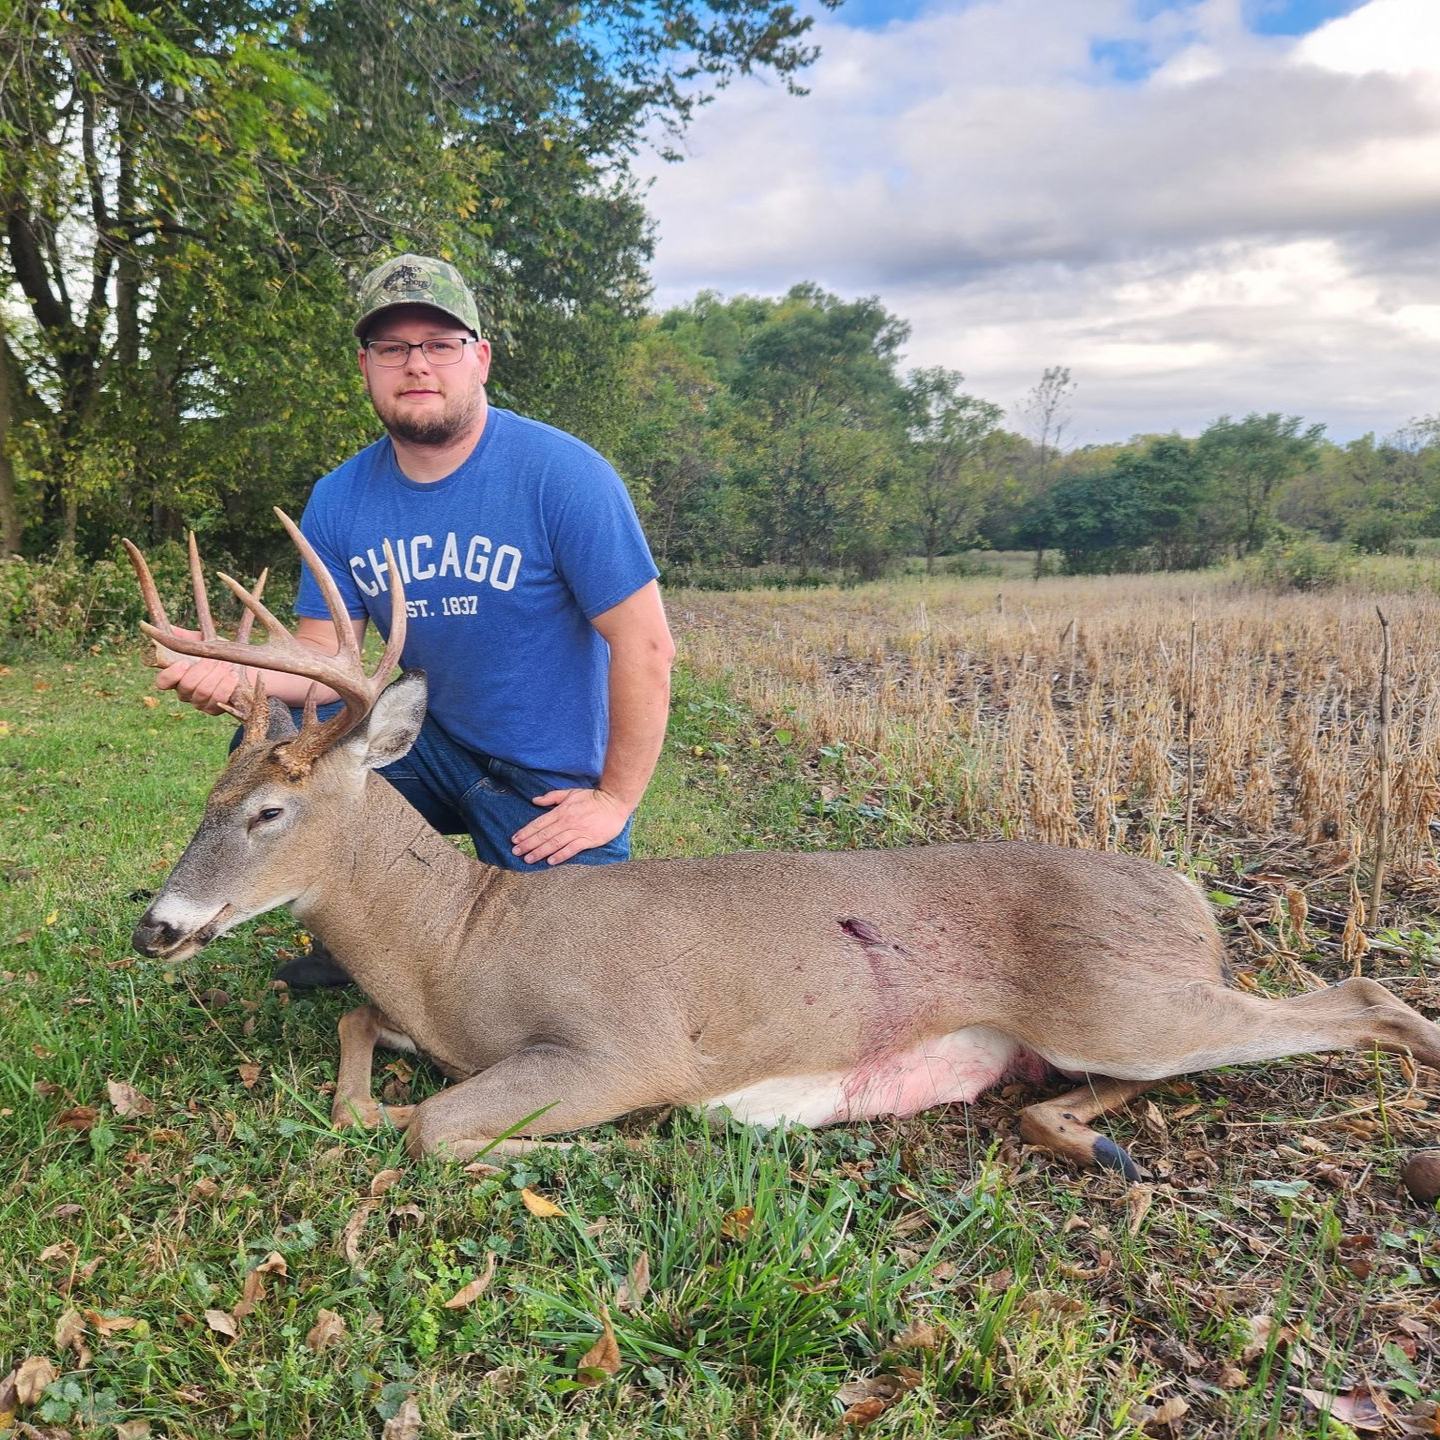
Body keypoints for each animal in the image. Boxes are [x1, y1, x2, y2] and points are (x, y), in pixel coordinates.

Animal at [123, 512, 1440, 1181]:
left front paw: (517, 1149)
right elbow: (357, 1036)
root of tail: (1191, 897)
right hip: (1095, 1028)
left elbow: (435, 1128)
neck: (455, 950)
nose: (157, 925)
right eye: (207, 792)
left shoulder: (625, 1044)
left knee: (1370, 996)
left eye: (269, 812)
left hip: (1125, 998)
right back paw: (1084, 1132)